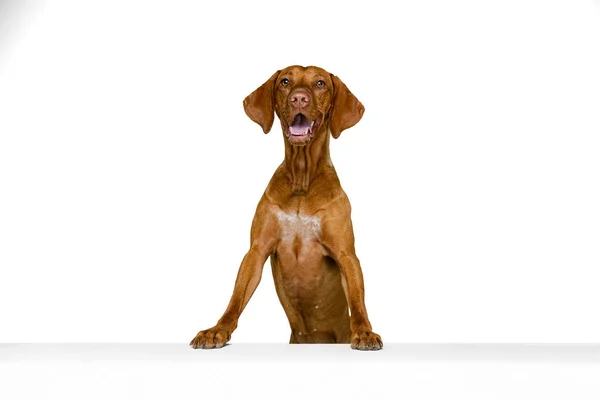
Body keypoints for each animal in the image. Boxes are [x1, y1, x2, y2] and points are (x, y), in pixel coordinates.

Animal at [190, 65, 382, 350]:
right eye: (285, 81)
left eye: (320, 83)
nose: (299, 98)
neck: (301, 180)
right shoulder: (256, 251)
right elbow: (236, 297)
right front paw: (218, 330)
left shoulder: (346, 254)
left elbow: (358, 300)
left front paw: (364, 331)